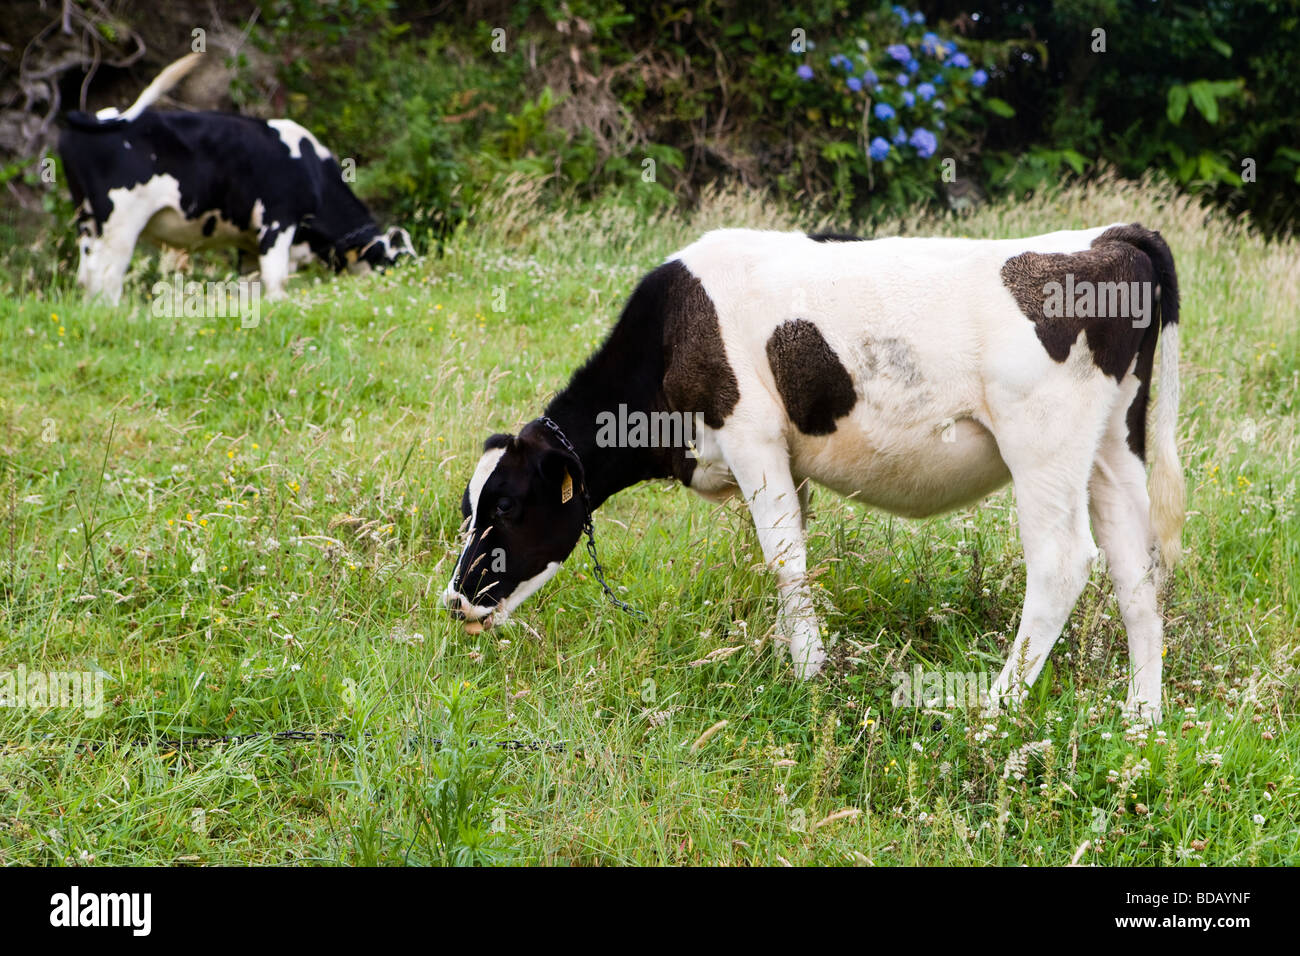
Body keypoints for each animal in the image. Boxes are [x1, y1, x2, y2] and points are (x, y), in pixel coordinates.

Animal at [57, 53, 405, 306]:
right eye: (393, 263)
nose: (400, 284)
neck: (313, 170)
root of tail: (93, 117)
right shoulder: (278, 221)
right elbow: (276, 280)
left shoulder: (249, 244)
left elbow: (252, 285)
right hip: (120, 224)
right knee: (107, 277)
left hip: (86, 220)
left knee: (86, 276)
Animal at [447, 223, 1190, 717]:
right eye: (468, 506)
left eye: (507, 505)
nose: (454, 599)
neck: (670, 334)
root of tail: (1108, 237)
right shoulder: (787, 459)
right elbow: (791, 549)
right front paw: (789, 652)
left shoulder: (750, 437)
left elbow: (783, 556)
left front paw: (807, 672)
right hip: (1114, 444)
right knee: (1137, 567)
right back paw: (1141, 717)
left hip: (1044, 447)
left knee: (1062, 562)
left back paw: (993, 708)